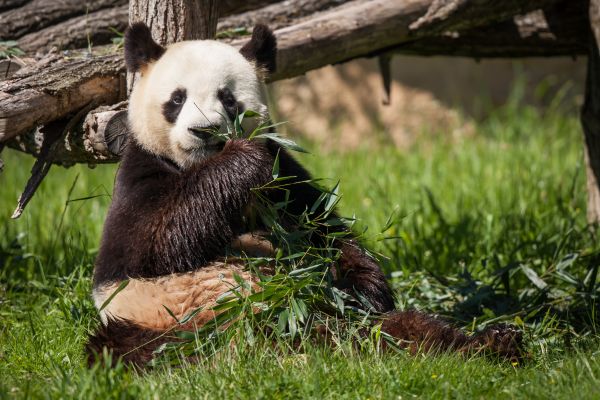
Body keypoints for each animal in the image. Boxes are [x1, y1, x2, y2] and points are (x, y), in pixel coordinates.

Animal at [85, 21, 524, 366]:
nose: (205, 131)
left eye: (228, 99)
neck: (197, 165)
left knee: (404, 329)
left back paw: (494, 344)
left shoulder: (286, 182)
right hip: (159, 323)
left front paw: (364, 287)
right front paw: (241, 161)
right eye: (177, 99)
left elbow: (328, 232)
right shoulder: (139, 177)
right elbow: (156, 241)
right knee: (132, 352)